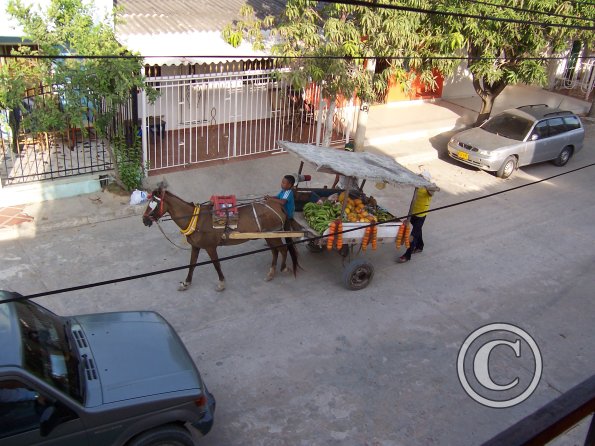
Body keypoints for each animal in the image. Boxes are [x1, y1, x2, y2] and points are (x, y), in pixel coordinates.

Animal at [142, 183, 300, 290]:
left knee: (282, 249)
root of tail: (278, 205)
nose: (144, 220)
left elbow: (216, 264)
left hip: (273, 234)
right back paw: (272, 272)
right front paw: (186, 282)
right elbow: (192, 264)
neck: (195, 219)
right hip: (269, 235)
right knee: (275, 251)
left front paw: (222, 282)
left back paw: (283, 268)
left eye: (154, 204)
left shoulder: (210, 247)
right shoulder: (196, 246)